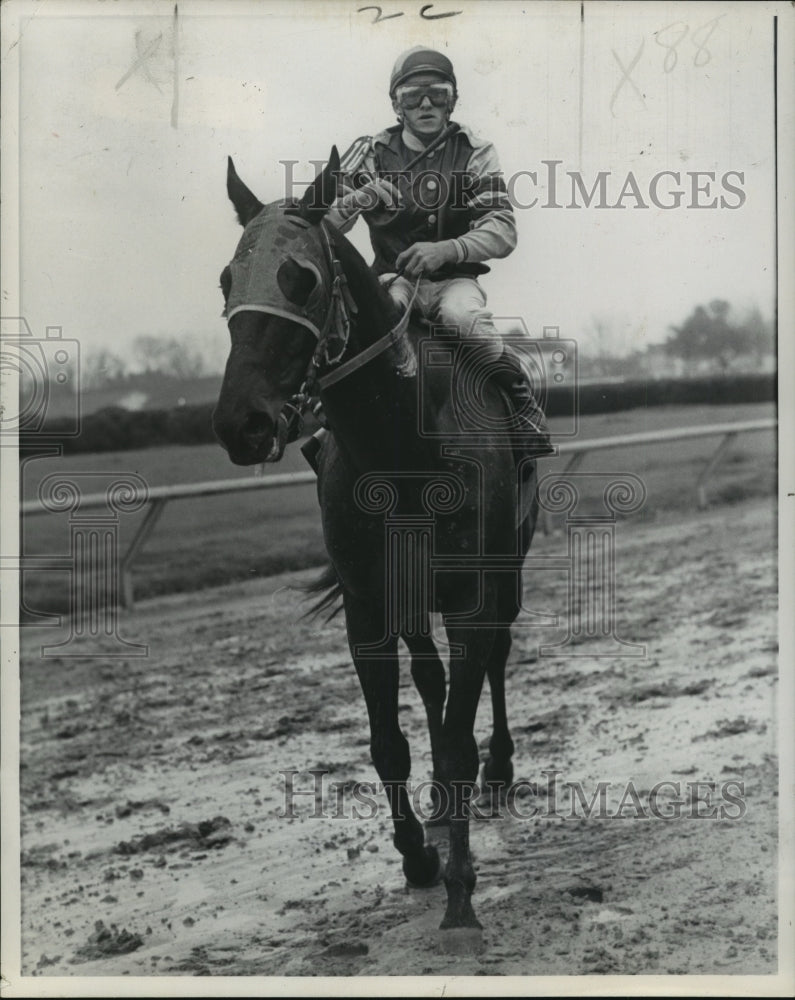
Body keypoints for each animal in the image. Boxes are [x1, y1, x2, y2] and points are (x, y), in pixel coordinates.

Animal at [215, 146, 544, 944]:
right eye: (226, 280)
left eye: (301, 277)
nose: (242, 423)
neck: (401, 444)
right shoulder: (368, 604)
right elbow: (388, 740)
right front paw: (418, 857)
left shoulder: (472, 594)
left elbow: (455, 740)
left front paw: (460, 886)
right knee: (429, 679)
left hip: (508, 573)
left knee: (495, 661)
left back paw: (498, 775)